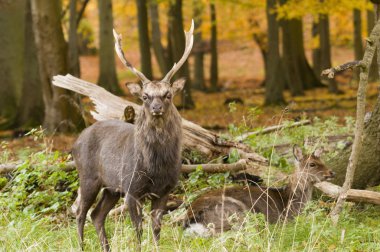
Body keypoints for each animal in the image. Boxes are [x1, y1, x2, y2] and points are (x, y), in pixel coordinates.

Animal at [72, 20, 194, 251]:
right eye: (145, 96)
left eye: (168, 94)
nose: (156, 108)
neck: (155, 166)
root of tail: (75, 141)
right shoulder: (131, 188)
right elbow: (138, 229)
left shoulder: (165, 190)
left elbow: (156, 228)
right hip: (89, 177)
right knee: (80, 213)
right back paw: (81, 246)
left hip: (111, 188)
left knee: (97, 214)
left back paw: (106, 247)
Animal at [184, 146, 336, 234]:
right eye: (312, 164)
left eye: (323, 161)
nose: (331, 173)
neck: (290, 201)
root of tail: (191, 219)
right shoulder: (284, 219)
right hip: (236, 212)